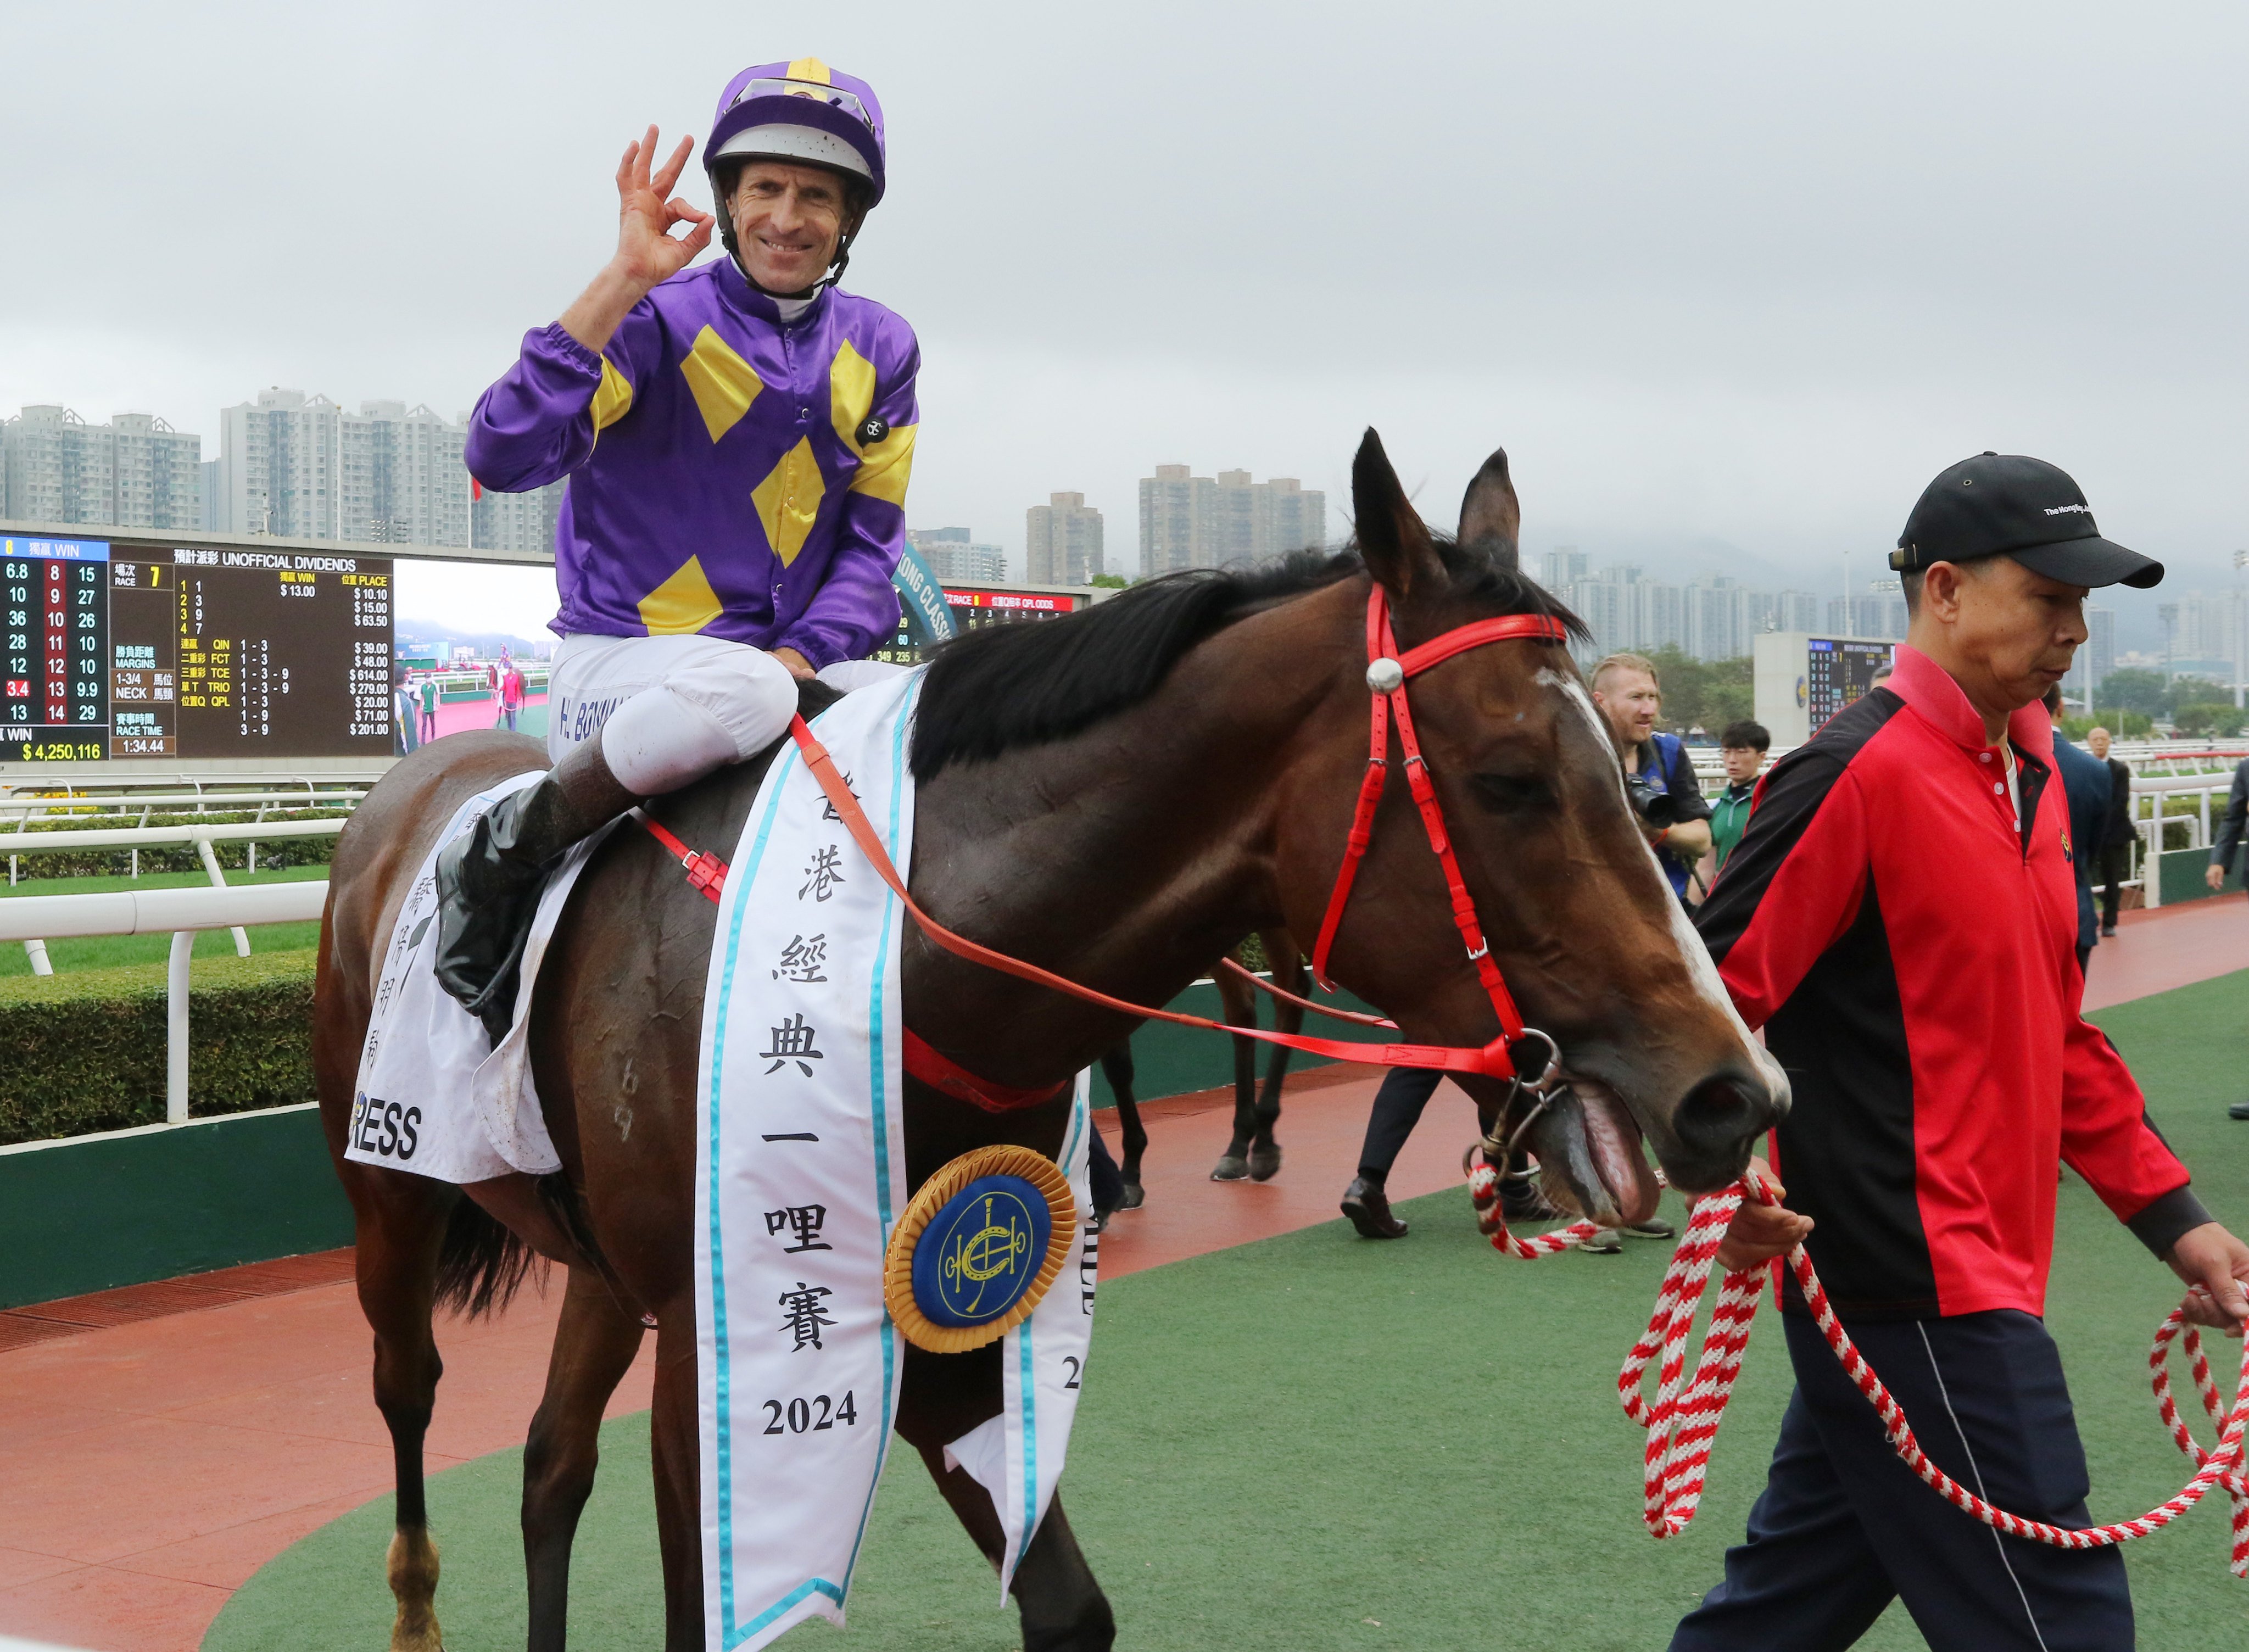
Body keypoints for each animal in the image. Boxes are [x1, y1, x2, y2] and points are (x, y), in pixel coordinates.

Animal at [321, 433, 1790, 1645]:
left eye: (1621, 768)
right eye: (1511, 781)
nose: (1734, 1089)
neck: (896, 965)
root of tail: (407, 782)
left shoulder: (943, 1294)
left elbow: (1070, 1604)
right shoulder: (720, 1328)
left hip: (597, 1264)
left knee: (549, 1463)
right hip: (387, 1196)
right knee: (409, 1390)